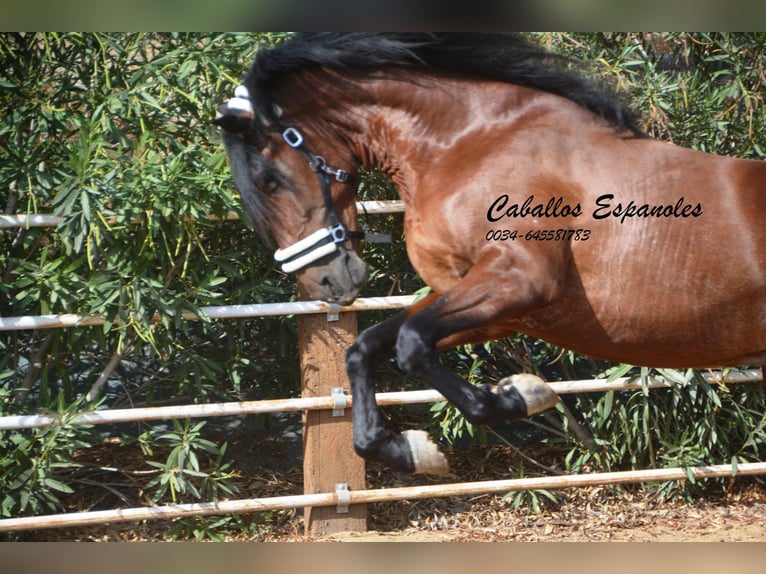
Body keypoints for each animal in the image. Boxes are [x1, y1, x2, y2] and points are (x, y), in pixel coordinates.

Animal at [218, 35, 766, 476]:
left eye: (269, 179)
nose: (327, 283)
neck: (469, 143)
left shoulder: (518, 282)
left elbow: (412, 346)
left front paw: (517, 397)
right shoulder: (497, 307)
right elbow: (368, 347)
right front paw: (407, 450)